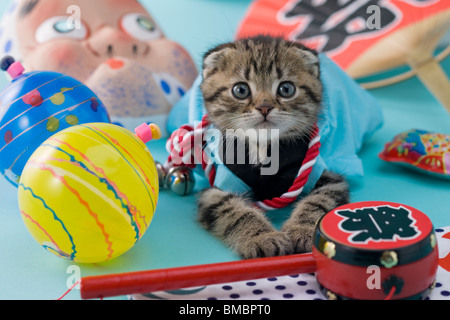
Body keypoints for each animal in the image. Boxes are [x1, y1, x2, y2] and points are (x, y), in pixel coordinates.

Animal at [199, 35, 350, 260]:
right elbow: (234, 211)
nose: (264, 107)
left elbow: (317, 202)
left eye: (286, 89)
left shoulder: (330, 180)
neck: (264, 148)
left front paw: (303, 231)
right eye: (241, 90)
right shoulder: (216, 189)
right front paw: (262, 237)